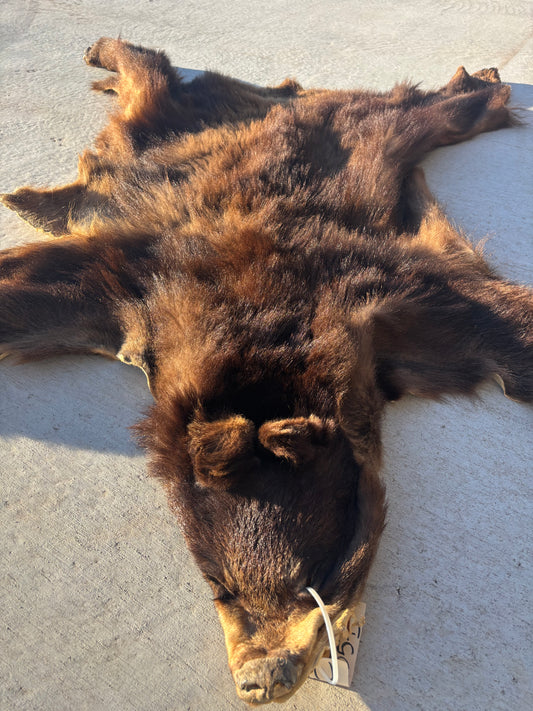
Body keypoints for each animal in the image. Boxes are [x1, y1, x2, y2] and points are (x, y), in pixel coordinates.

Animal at [1, 38, 531, 704]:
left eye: (316, 580)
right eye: (220, 589)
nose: (259, 680)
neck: (263, 362)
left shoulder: (394, 298)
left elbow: (504, 327)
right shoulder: (130, 287)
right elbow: (31, 291)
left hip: (361, 132)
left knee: (418, 112)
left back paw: (481, 82)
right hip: (156, 141)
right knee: (151, 93)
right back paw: (102, 62)